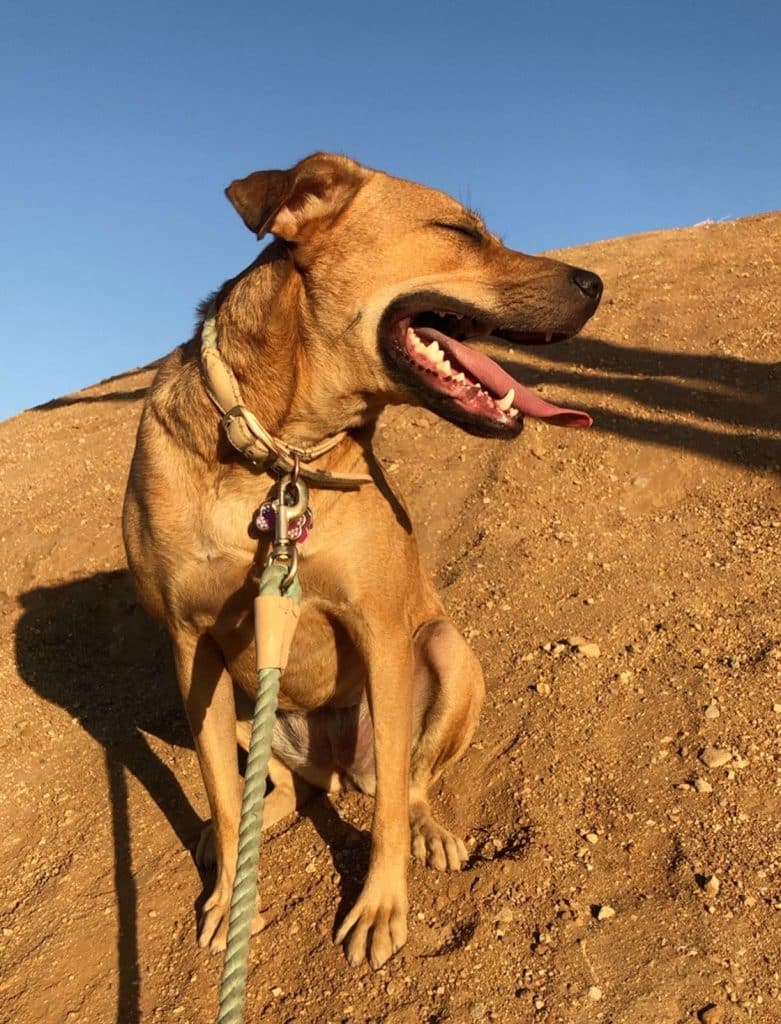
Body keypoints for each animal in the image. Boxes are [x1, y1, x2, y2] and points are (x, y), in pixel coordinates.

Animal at [122, 151, 601, 966]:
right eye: (458, 231)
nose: (595, 284)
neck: (275, 456)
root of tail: (340, 768)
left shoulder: (378, 628)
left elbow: (387, 821)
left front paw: (379, 907)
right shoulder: (191, 648)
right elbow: (221, 794)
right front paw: (226, 901)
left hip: (445, 655)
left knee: (404, 789)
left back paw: (429, 831)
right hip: (245, 705)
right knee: (277, 792)